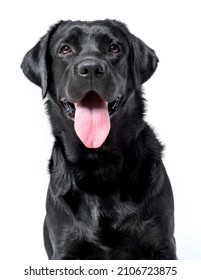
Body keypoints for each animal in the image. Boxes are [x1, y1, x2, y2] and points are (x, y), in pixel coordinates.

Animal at [21, 19, 177, 260]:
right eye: (65, 49)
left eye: (114, 48)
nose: (91, 69)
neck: (99, 165)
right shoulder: (66, 248)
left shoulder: (161, 245)